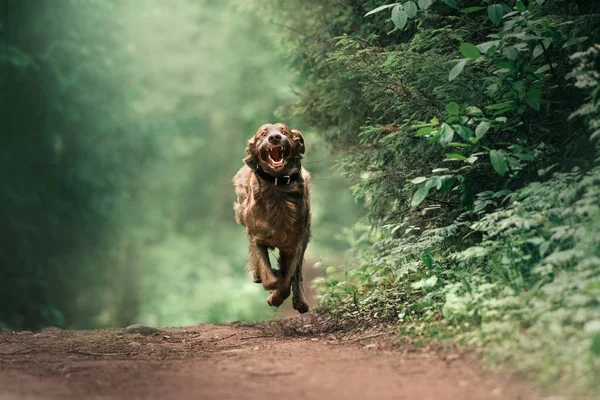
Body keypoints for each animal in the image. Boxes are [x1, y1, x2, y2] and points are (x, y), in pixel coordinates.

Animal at [232, 122, 312, 312]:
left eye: (285, 132)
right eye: (263, 134)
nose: (275, 137)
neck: (277, 187)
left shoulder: (294, 243)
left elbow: (287, 279)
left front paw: (276, 296)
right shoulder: (256, 237)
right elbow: (269, 278)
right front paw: (271, 282)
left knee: (297, 271)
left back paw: (300, 301)